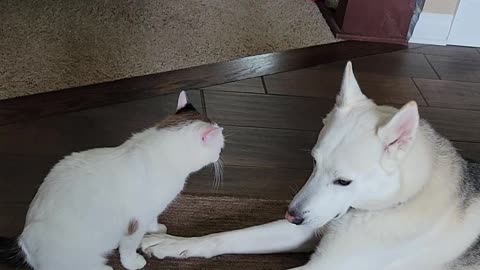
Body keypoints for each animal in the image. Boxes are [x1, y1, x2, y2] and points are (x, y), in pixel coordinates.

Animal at [0, 91, 224, 270]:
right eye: (220, 146)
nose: (221, 154)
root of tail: (23, 241)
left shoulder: (151, 211)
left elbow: (153, 221)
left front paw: (157, 230)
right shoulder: (135, 223)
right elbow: (129, 248)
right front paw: (134, 263)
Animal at [141, 62, 480, 268]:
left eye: (343, 181)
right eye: (314, 163)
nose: (291, 216)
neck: (401, 200)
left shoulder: (325, 264)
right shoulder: (307, 227)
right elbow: (228, 236)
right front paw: (175, 244)